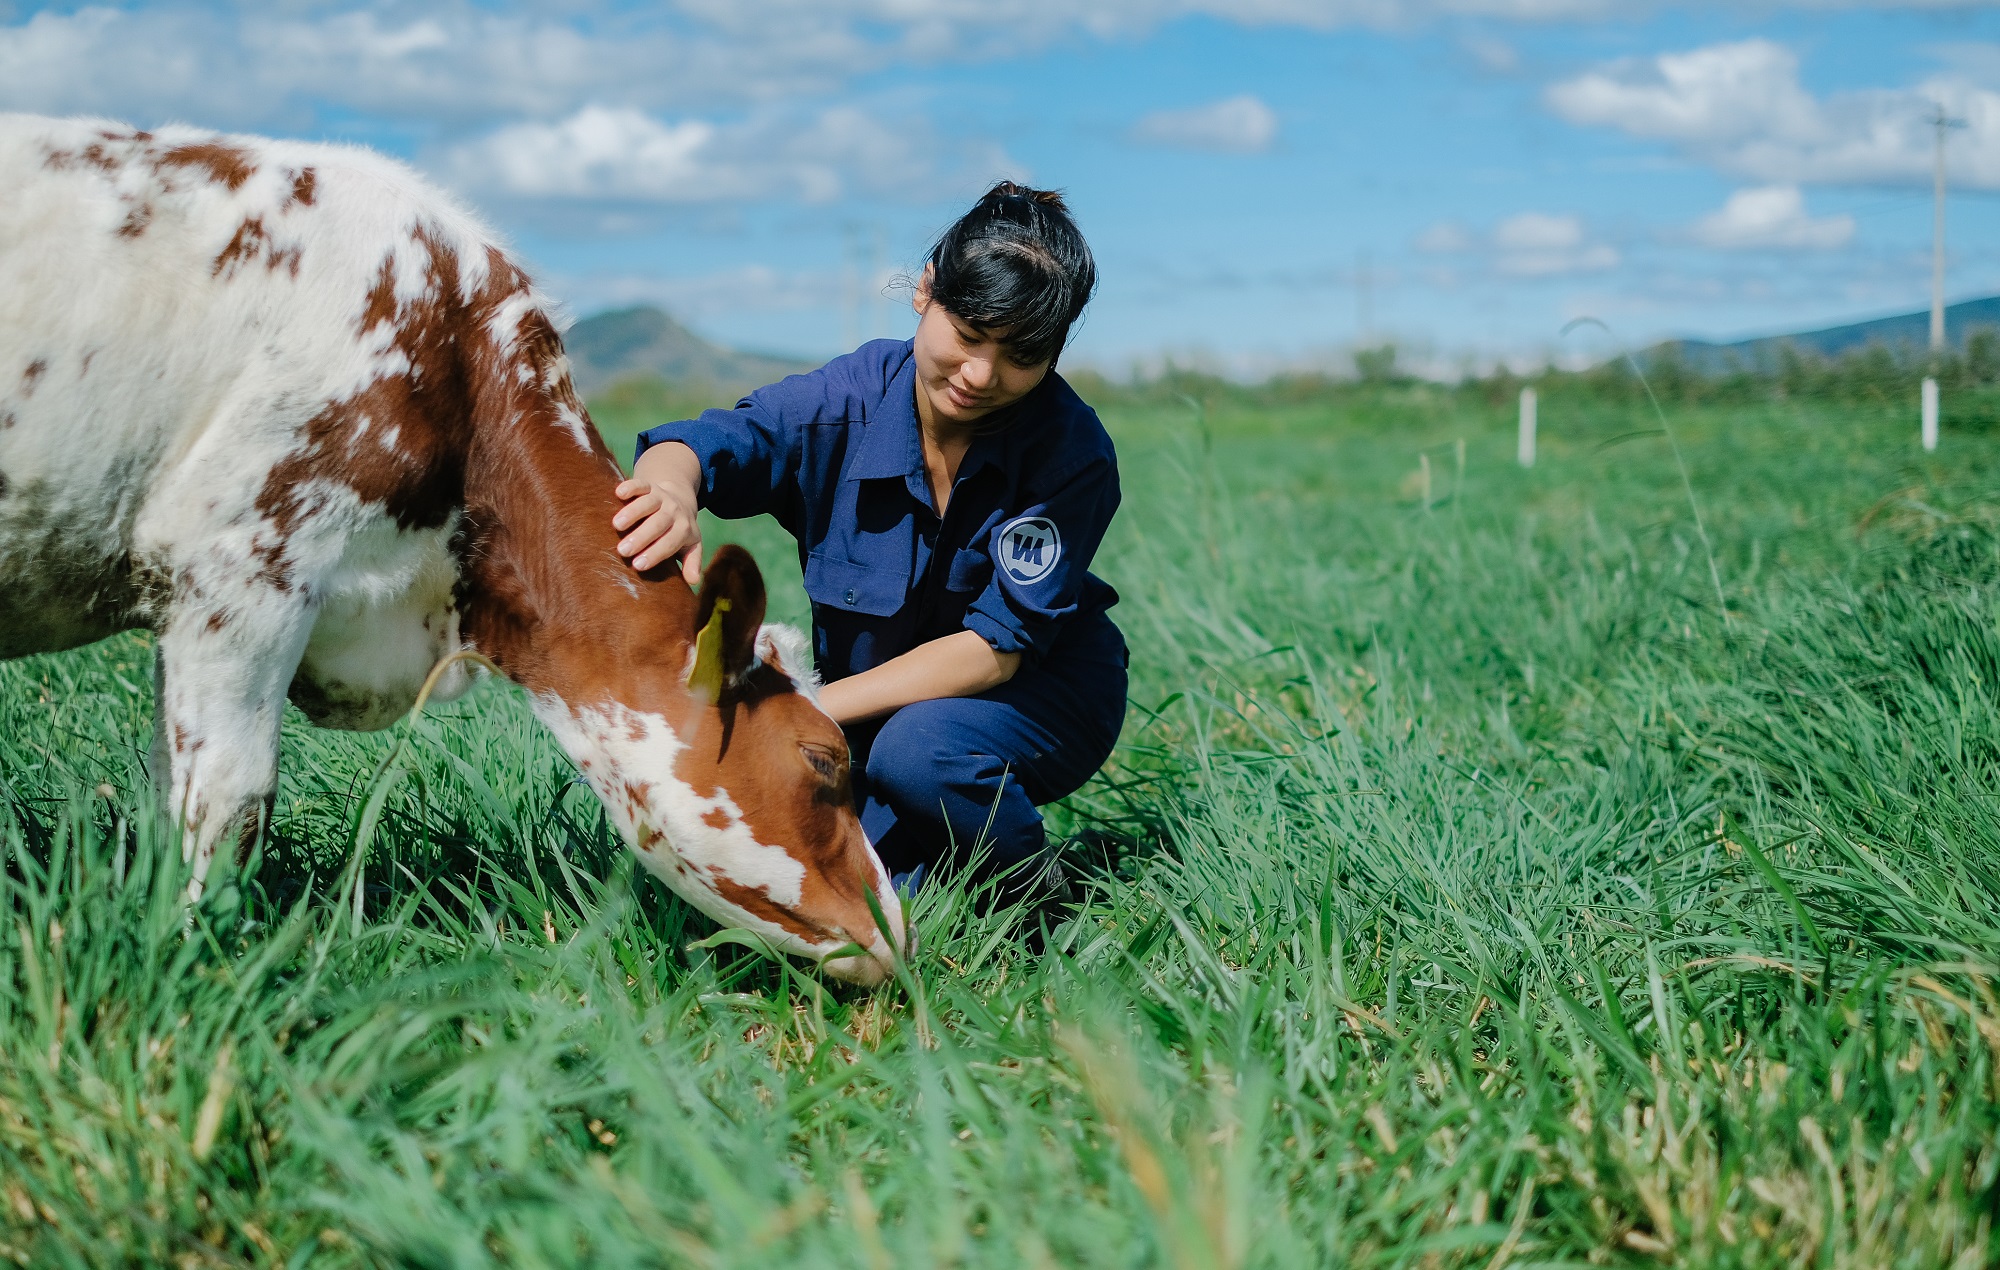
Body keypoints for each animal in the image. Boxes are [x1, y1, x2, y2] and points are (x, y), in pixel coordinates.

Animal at [0, 114, 908, 988]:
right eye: (826, 761)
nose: (901, 930)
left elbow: (171, 790)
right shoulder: (241, 564)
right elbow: (228, 800)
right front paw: (195, 964)